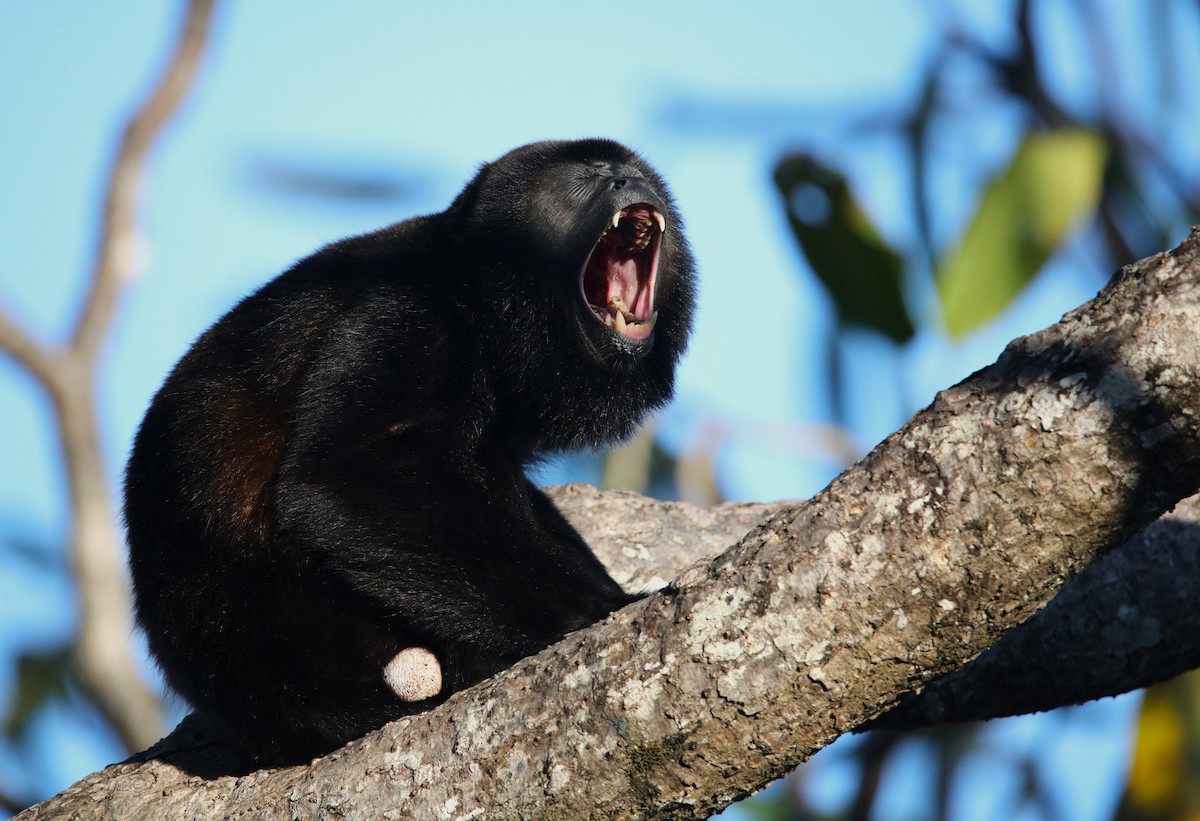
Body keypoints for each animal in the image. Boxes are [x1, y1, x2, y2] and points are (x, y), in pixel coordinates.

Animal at [123, 139, 696, 766]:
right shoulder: (400, 315)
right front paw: (600, 608)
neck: (475, 299)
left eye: (637, 173)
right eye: (585, 176)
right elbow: (344, 477)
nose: (626, 180)